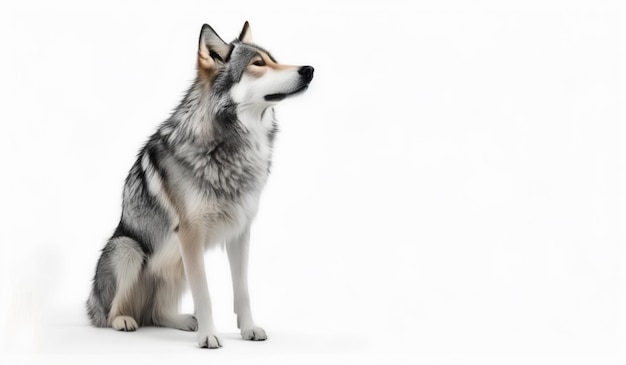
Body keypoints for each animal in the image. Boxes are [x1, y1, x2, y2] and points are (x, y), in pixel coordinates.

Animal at [86, 22, 314, 346]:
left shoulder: (241, 231)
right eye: (258, 64)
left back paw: (184, 321)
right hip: (128, 248)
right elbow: (204, 293)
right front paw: (209, 336)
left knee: (156, 314)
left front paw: (248, 329)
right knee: (112, 313)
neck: (231, 147)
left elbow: (242, 290)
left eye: (274, 60)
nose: (309, 69)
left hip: (174, 267)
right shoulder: (190, 236)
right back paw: (125, 321)